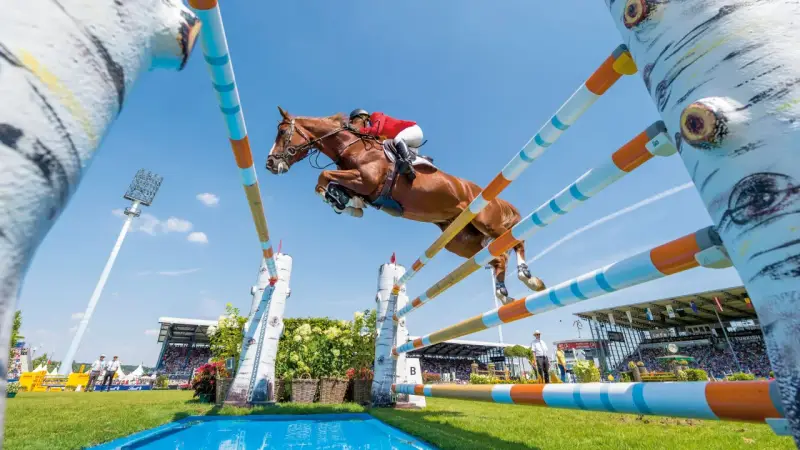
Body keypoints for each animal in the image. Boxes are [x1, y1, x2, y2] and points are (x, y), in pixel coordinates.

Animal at [265, 107, 545, 303]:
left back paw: (528, 278)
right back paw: (504, 293)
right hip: (460, 240)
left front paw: (342, 202)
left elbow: (323, 177)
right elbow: (330, 184)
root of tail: (484, 193)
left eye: (282, 133)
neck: (351, 145)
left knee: (515, 240)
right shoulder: (360, 185)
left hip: (486, 219)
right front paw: (346, 203)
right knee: (497, 258)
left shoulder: (366, 180)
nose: (270, 164)